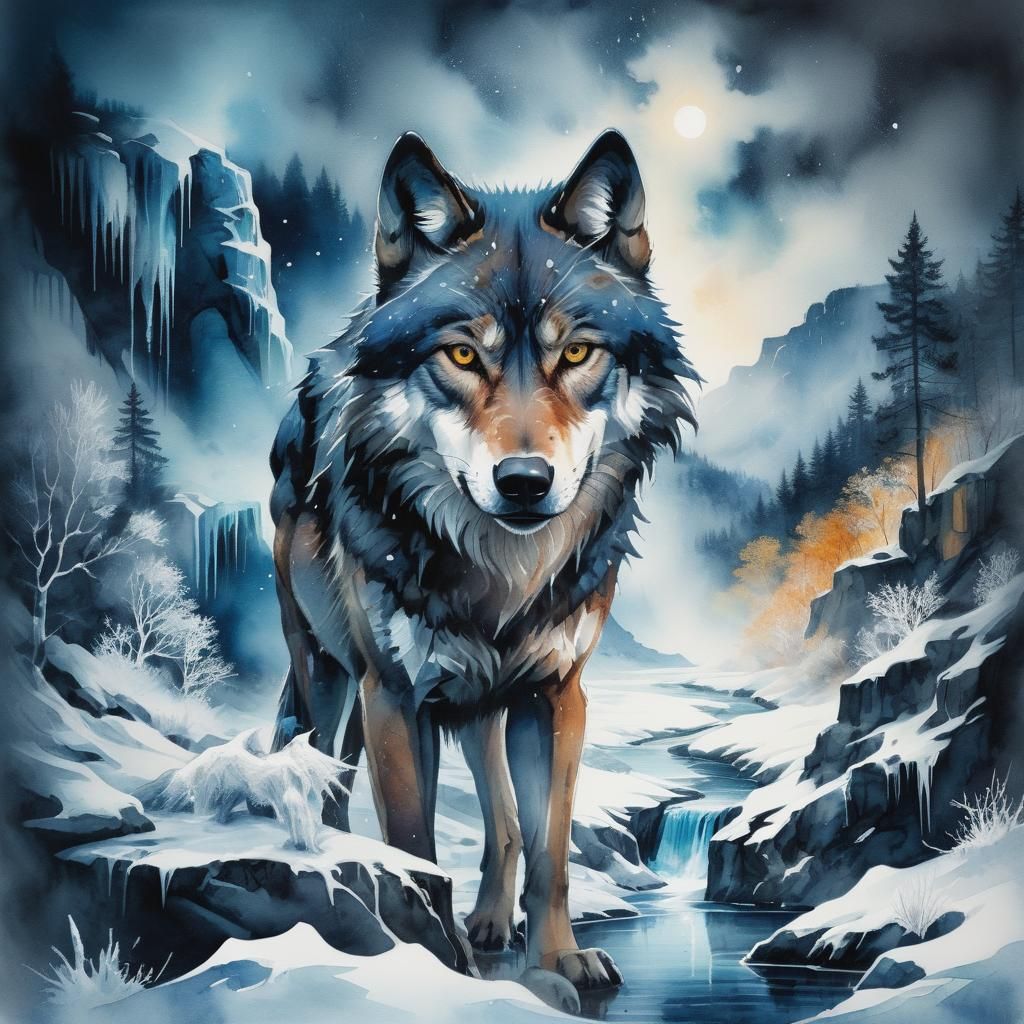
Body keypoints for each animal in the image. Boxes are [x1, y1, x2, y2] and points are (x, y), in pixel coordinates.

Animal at [270, 128, 697, 991]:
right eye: (463, 355)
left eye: (578, 352)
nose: (524, 481)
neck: (501, 576)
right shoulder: (395, 699)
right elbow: (414, 848)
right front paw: (436, 967)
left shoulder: (556, 696)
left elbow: (548, 847)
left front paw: (558, 957)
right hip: (327, 676)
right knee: (328, 781)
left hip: (479, 704)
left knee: (501, 818)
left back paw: (496, 922)